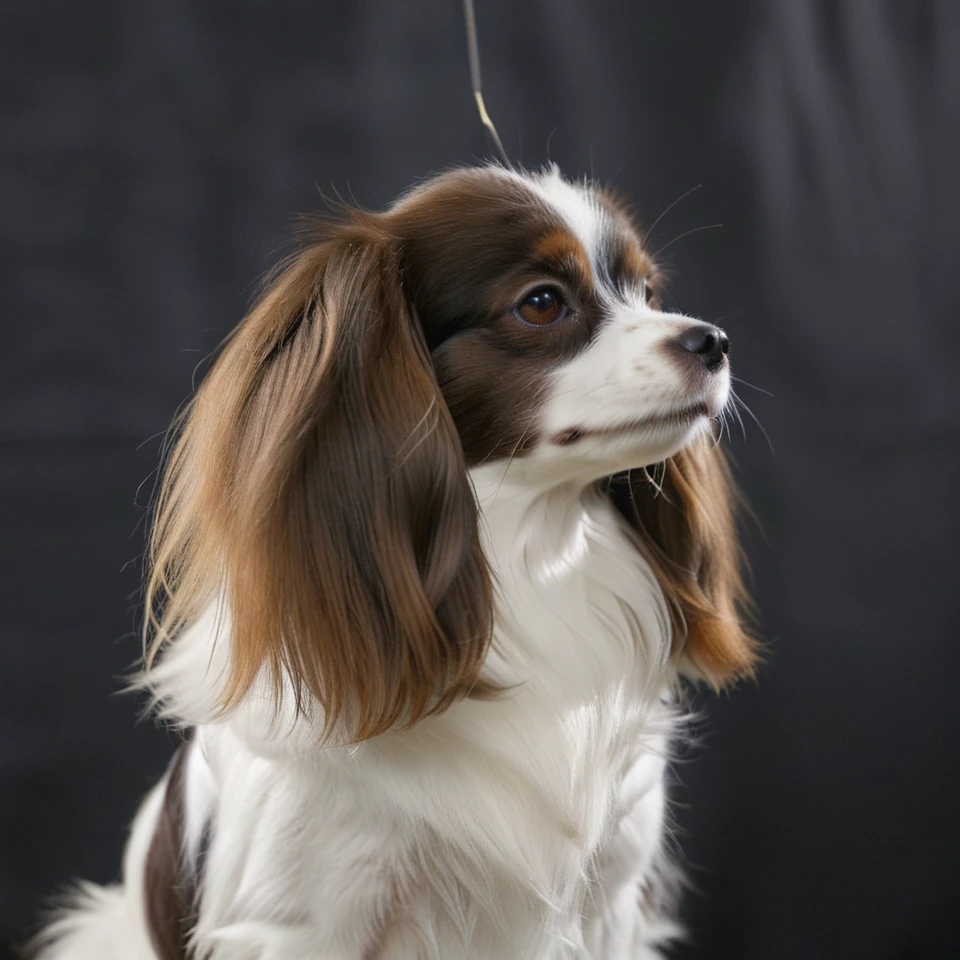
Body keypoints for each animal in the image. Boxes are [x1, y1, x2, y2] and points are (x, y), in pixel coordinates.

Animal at [33, 167, 756, 960]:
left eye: (649, 293)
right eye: (541, 304)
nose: (714, 340)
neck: (532, 555)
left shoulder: (611, 901)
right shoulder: (307, 924)